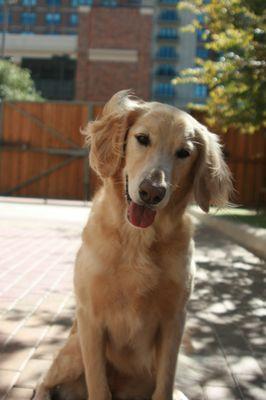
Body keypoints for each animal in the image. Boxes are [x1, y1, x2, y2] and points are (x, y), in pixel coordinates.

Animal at [34, 90, 232, 400]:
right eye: (142, 138)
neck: (138, 240)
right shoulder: (90, 319)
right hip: (73, 352)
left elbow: (165, 386)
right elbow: (98, 386)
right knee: (43, 381)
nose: (152, 192)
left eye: (184, 153)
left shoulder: (174, 321)